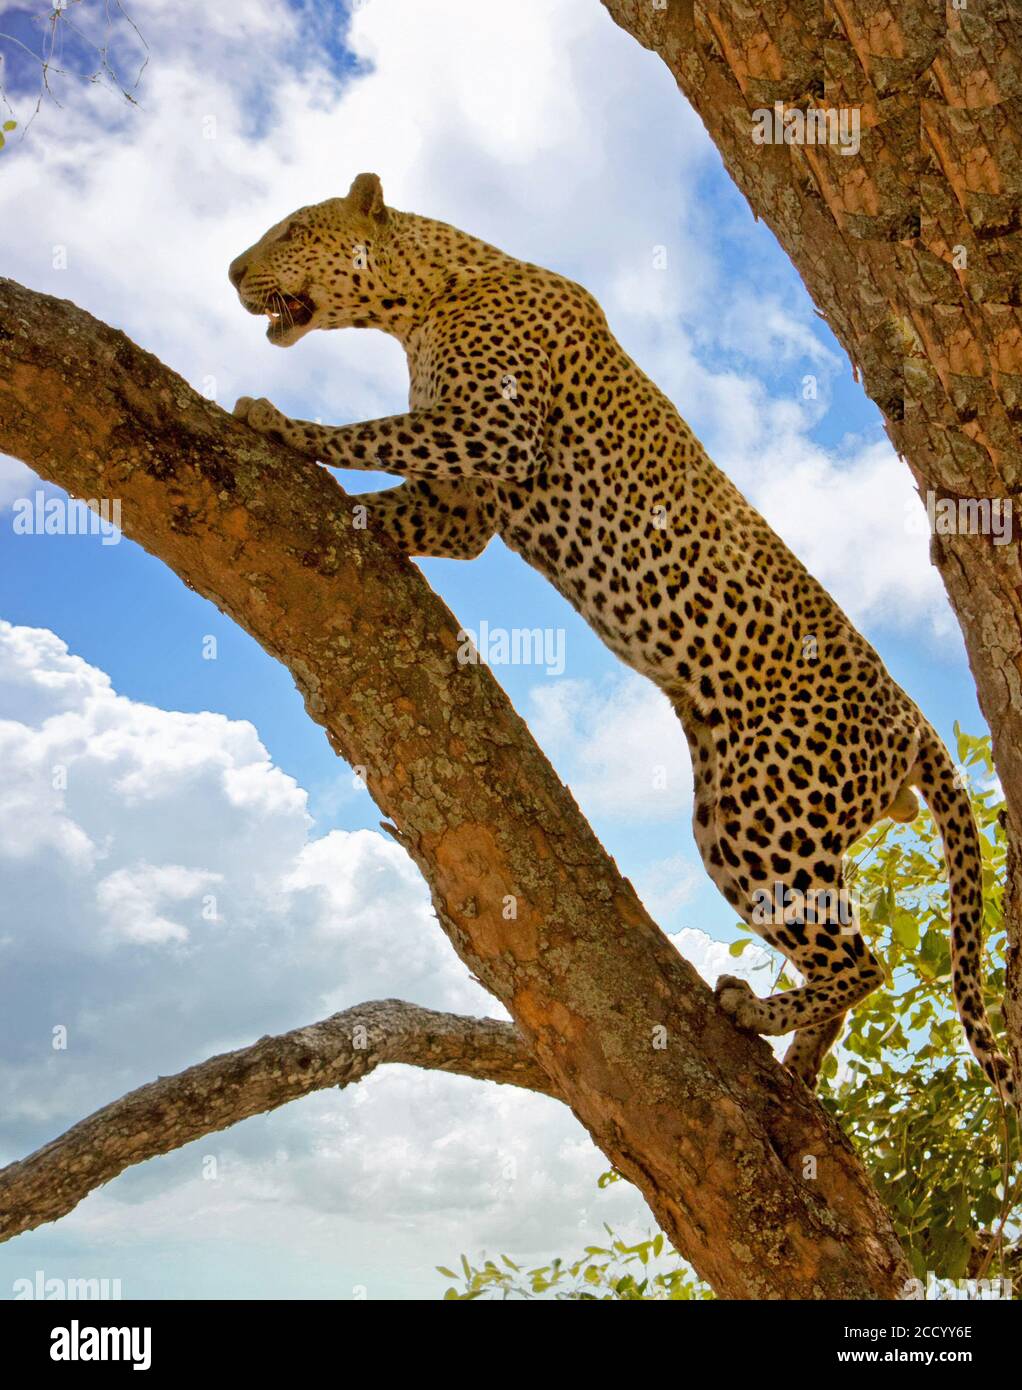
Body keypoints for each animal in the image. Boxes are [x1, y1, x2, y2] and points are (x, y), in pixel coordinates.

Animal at [225, 173, 1017, 1106]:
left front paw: (279, 422)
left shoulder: (495, 431)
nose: (232, 270)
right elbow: (398, 494)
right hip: (752, 820)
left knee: (865, 963)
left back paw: (754, 1014)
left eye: (292, 229)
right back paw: (793, 1057)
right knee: (843, 961)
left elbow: (372, 429)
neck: (421, 303)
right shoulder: (463, 505)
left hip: (761, 816)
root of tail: (919, 721)